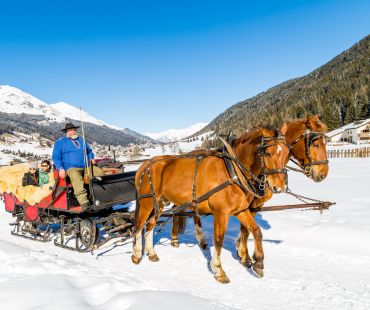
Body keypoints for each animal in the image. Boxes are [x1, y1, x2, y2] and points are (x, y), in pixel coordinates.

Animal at [132, 124, 290, 282]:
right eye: (267, 153)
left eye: (287, 151)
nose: (279, 187)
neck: (233, 170)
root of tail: (144, 164)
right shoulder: (221, 212)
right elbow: (219, 240)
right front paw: (219, 270)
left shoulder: (240, 210)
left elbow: (256, 231)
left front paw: (258, 263)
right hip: (146, 203)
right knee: (139, 225)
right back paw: (137, 254)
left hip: (159, 204)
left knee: (150, 226)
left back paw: (151, 253)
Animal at [236, 114, 328, 266]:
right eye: (315, 143)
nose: (323, 174)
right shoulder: (249, 203)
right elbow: (245, 227)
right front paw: (245, 255)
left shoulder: (255, 204)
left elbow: (246, 227)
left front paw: (241, 251)